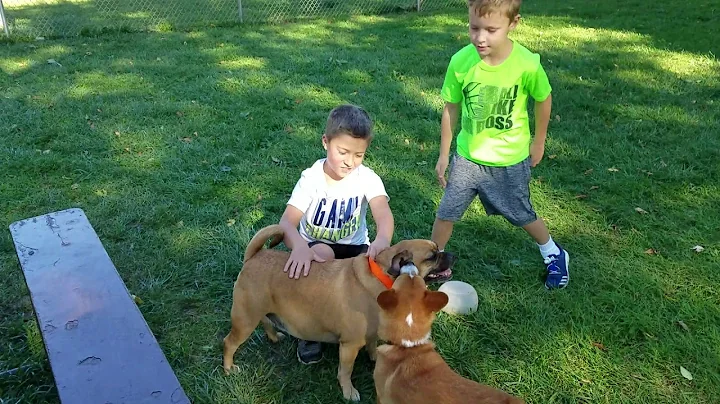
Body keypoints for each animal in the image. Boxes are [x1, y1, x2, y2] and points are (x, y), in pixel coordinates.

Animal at [222, 224, 452, 400]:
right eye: (432, 256)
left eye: (437, 250)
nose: (451, 254)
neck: (383, 278)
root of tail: (254, 256)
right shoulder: (349, 346)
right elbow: (345, 372)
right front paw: (349, 392)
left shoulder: (369, 334)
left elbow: (372, 347)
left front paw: (375, 358)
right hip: (245, 320)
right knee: (229, 343)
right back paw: (229, 369)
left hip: (257, 312)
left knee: (267, 322)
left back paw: (274, 337)